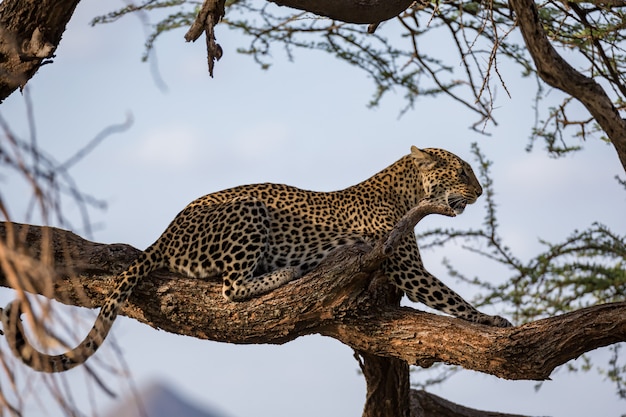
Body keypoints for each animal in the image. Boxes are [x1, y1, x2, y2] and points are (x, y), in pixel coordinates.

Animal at [2, 145, 510, 370]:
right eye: (462, 172)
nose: (481, 192)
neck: (406, 192)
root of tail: (166, 231)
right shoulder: (405, 265)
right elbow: (452, 297)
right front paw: (494, 321)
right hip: (248, 210)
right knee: (230, 289)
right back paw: (285, 272)